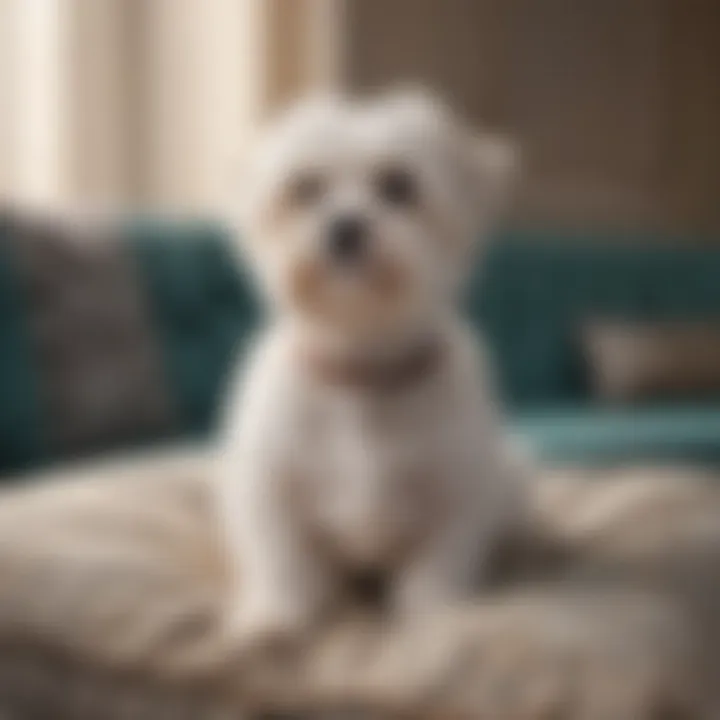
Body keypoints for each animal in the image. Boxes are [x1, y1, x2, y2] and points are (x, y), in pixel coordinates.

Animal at [217, 88, 524, 652]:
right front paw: (275, 614)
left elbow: (437, 566)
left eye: (398, 185)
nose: (345, 227)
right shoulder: (269, 485)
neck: (361, 371)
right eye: (304, 188)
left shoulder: (459, 492)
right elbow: (283, 557)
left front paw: (433, 616)